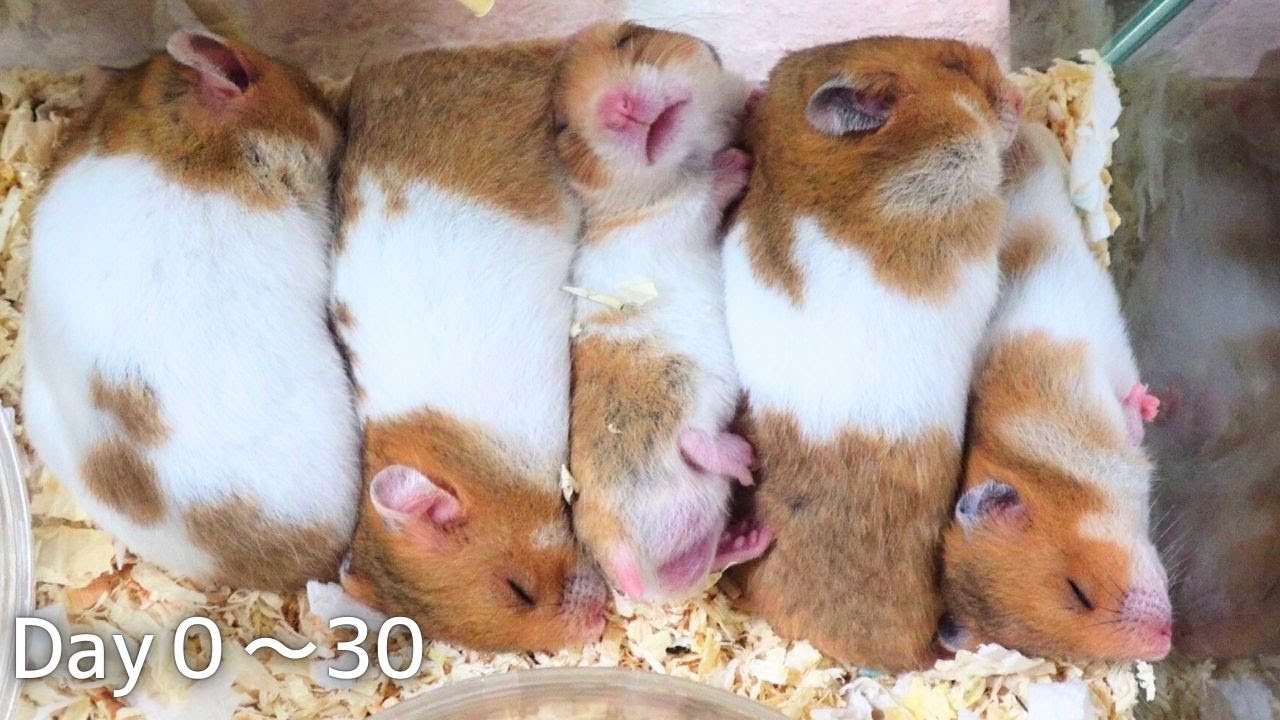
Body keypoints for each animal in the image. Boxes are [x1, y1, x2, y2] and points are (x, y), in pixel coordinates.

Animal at [553, 22, 766, 601]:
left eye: (628, 37)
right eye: (563, 126)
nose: (618, 109)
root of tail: (620, 556)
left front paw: (754, 98)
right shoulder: (666, 218)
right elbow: (700, 193)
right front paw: (737, 160)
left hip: (689, 532)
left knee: (688, 571)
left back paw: (749, 536)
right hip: (682, 385)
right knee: (691, 440)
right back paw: (743, 460)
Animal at [939, 123, 1172, 661]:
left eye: (1077, 590)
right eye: (1052, 652)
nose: (1166, 643)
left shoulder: (1081, 385)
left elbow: (1129, 425)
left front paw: (1149, 400)